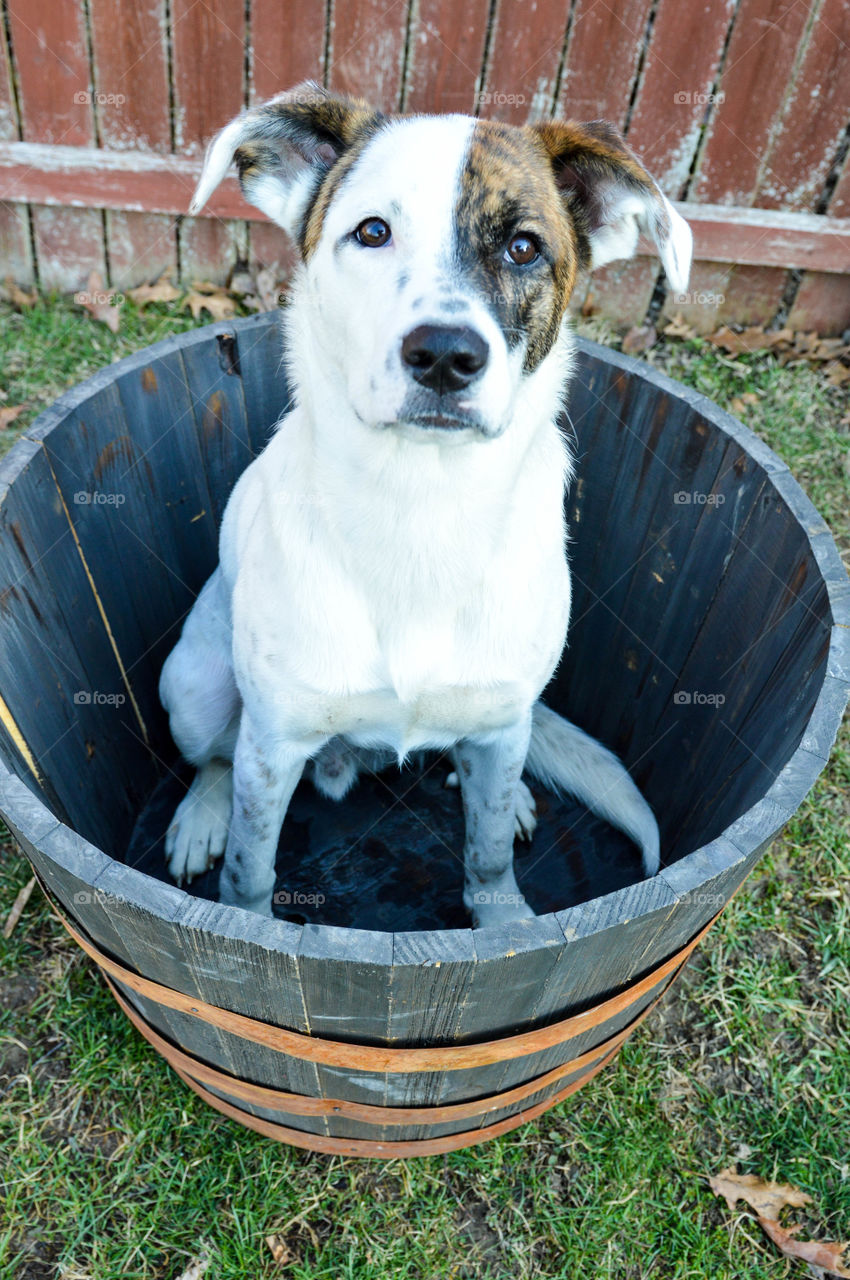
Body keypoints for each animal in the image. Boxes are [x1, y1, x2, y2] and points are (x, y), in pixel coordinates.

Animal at [159, 82, 691, 931]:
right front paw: (243, 914)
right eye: (372, 232)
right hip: (194, 685)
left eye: (524, 248)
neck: (422, 504)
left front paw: (504, 925)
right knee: (214, 758)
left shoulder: (502, 723)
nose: (445, 355)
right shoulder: (272, 743)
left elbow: (488, 856)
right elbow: (249, 871)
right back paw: (202, 814)